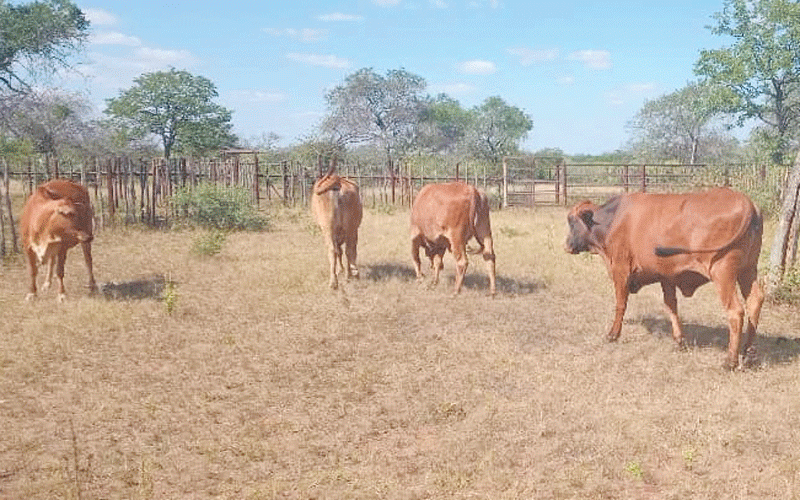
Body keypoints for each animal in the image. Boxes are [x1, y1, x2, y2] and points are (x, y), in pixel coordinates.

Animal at [565, 187, 764, 370]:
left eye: (571, 222)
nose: (566, 246)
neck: (612, 220)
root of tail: (746, 202)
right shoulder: (667, 276)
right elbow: (671, 306)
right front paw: (679, 340)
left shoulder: (620, 269)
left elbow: (620, 305)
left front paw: (613, 335)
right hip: (748, 270)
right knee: (755, 301)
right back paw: (748, 353)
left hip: (723, 273)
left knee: (736, 311)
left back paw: (730, 360)